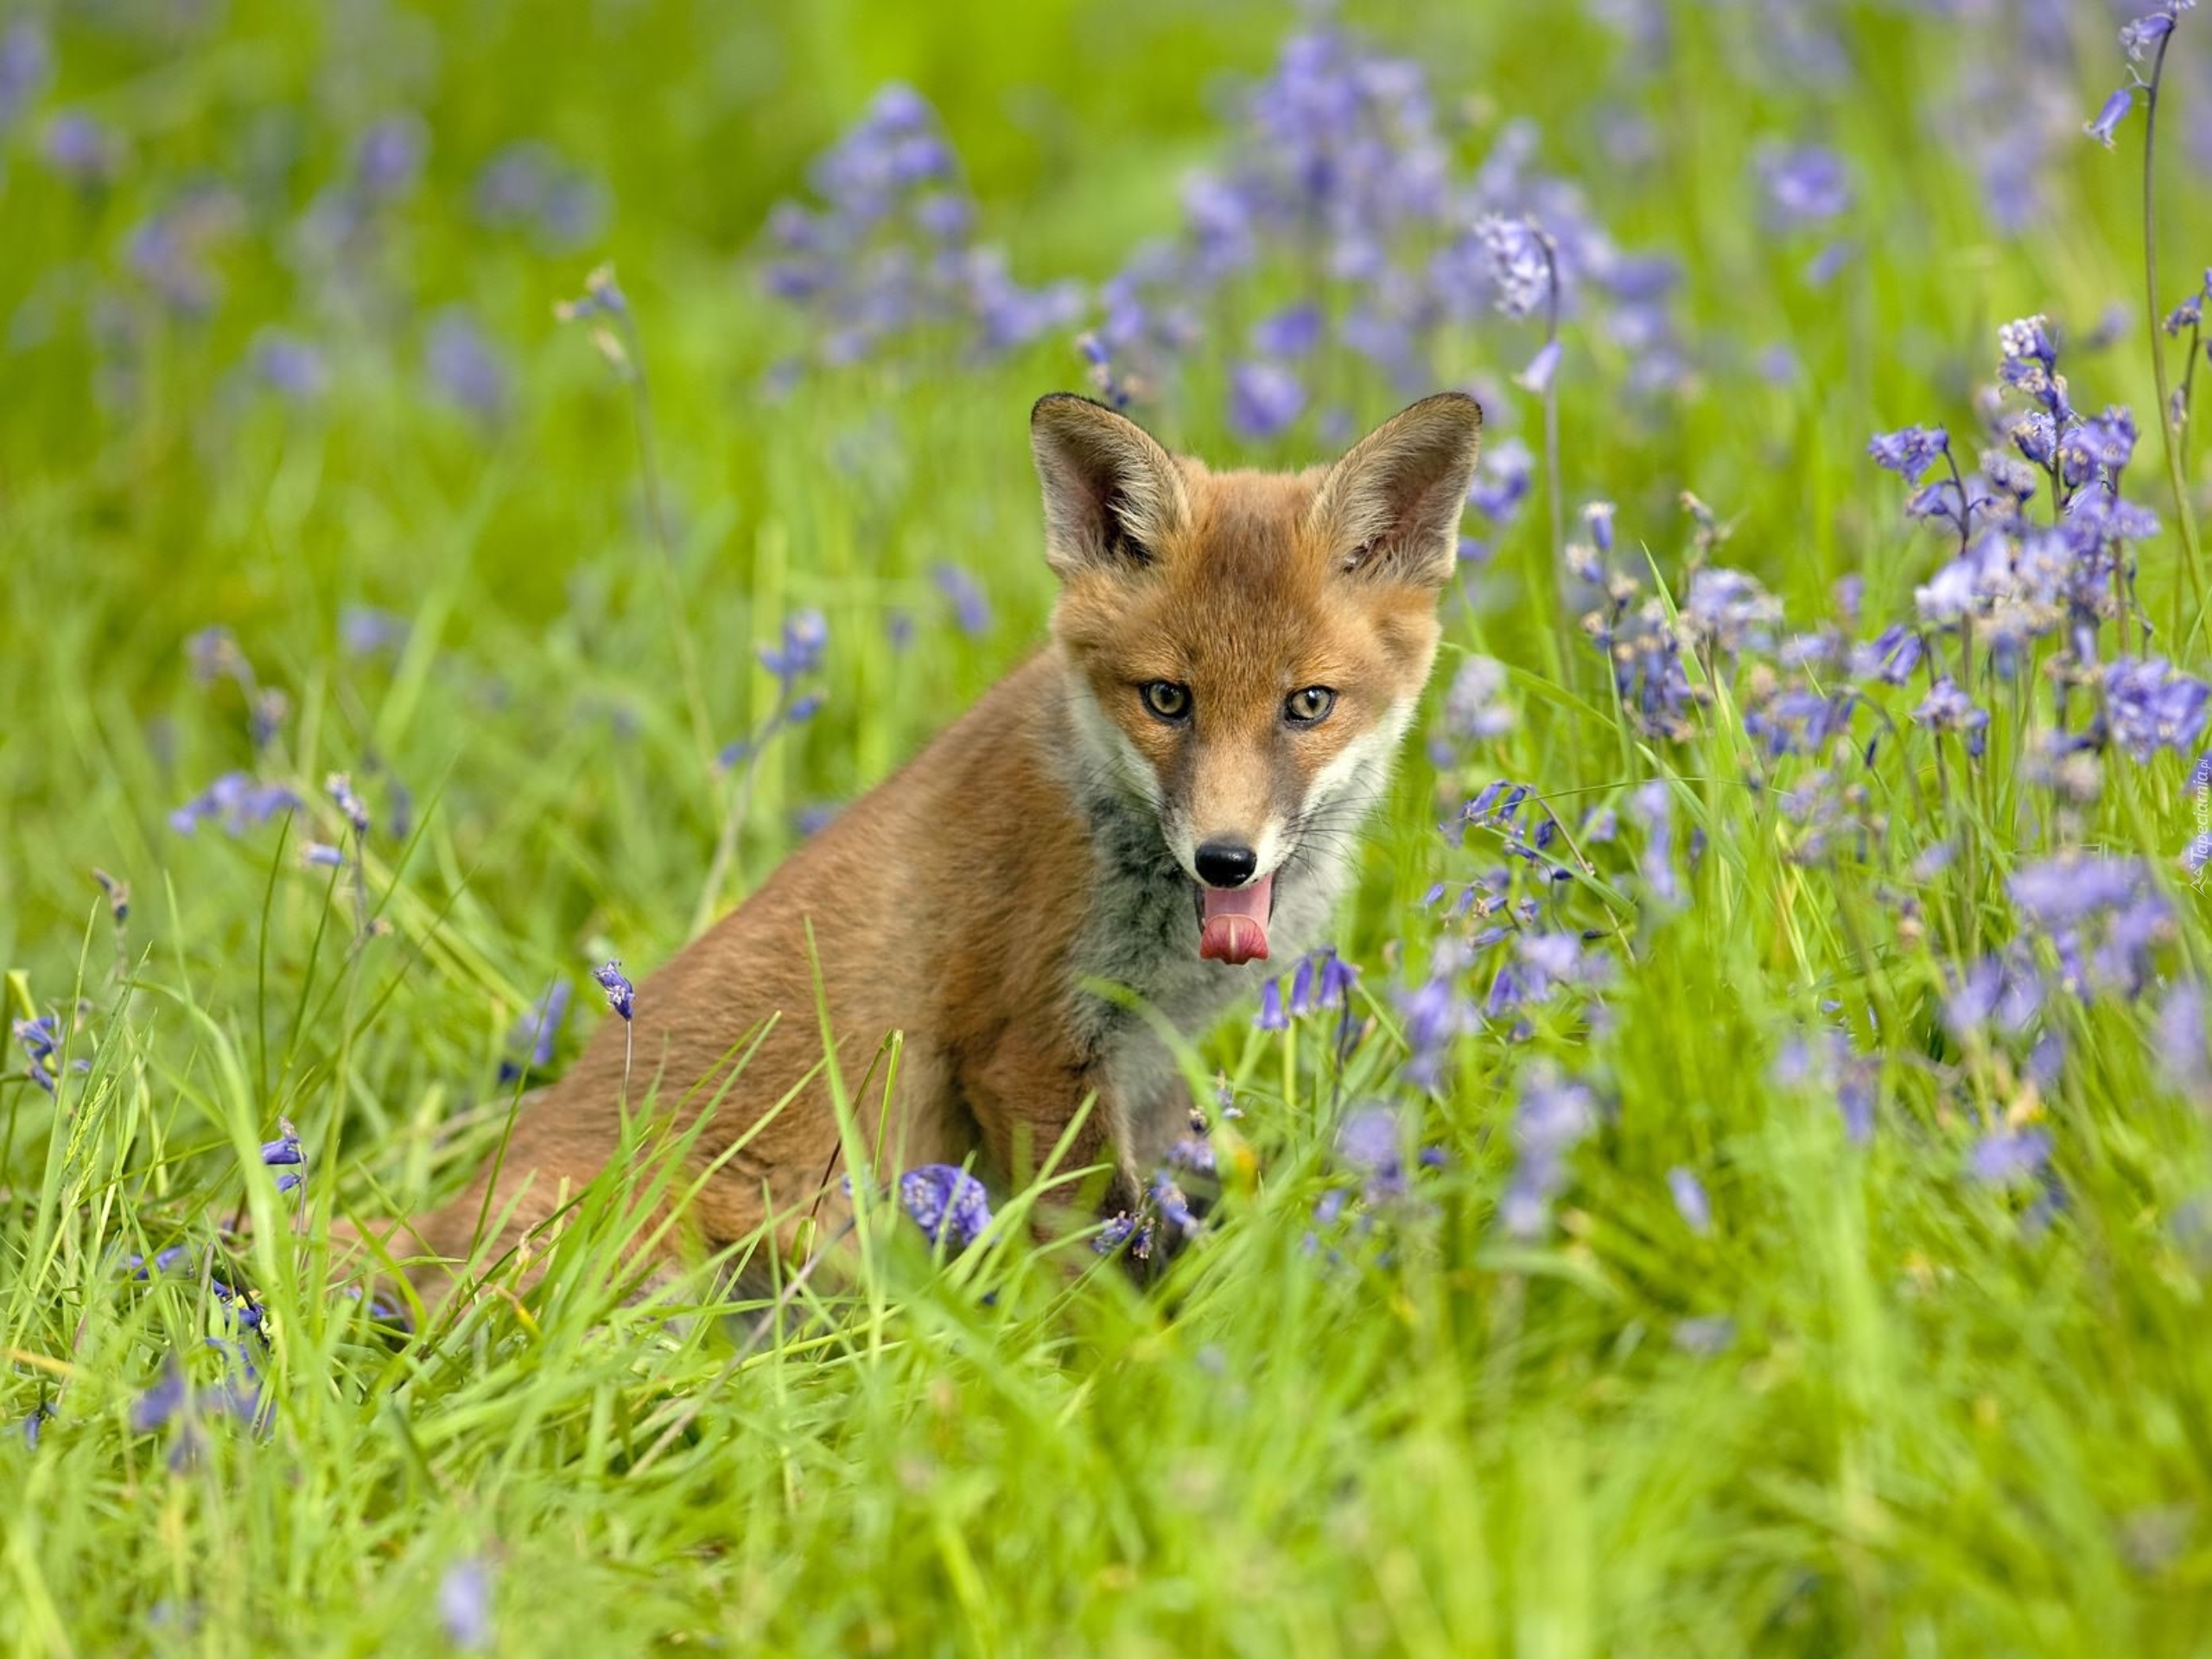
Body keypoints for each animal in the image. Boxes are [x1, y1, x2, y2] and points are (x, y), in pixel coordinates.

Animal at [353, 387, 1478, 1300]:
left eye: (1307, 705)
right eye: (1168, 699)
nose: (1225, 860)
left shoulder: (1150, 1071)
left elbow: (1155, 1221)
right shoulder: (1026, 1049)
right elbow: (1100, 1257)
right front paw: (1118, 1365)